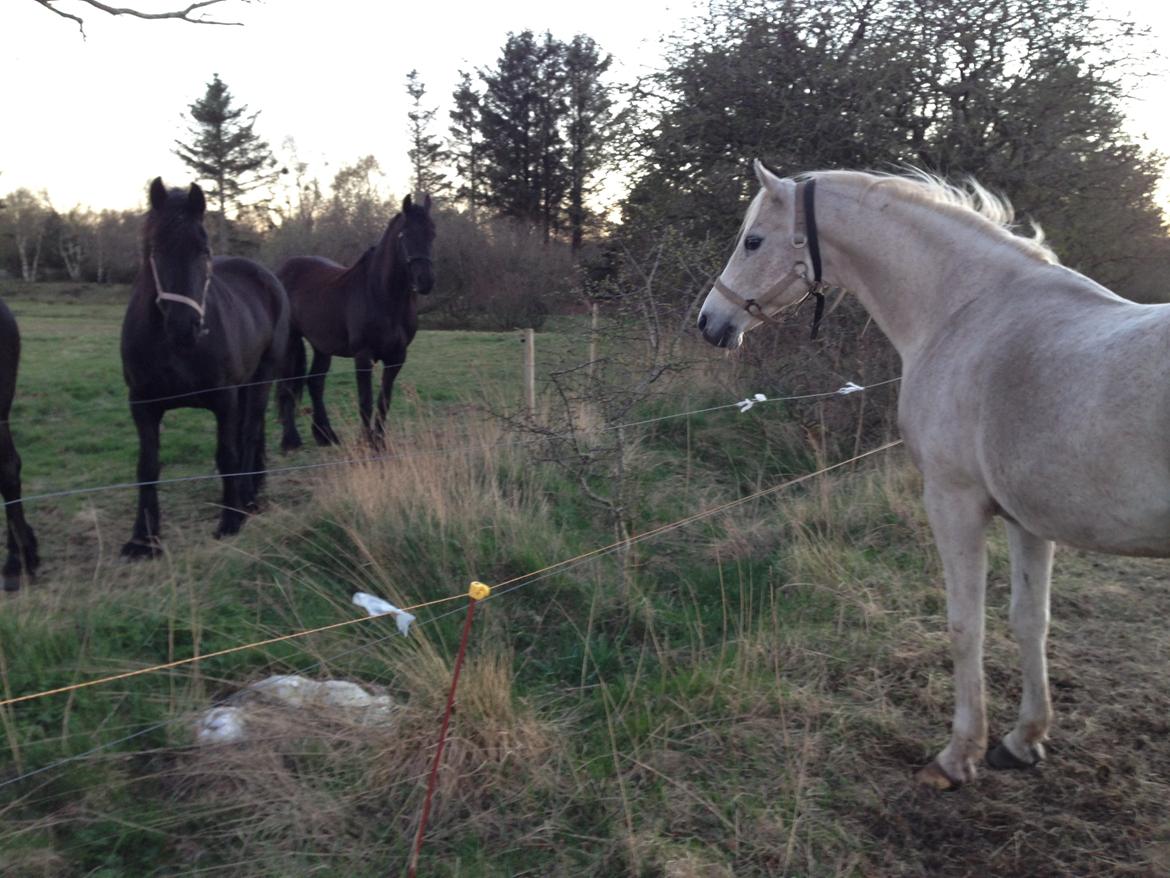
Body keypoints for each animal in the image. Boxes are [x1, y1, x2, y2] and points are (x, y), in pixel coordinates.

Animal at [121, 179, 290, 559]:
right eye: (156, 247)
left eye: (203, 248)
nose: (184, 327)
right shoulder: (142, 405)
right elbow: (146, 465)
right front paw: (143, 538)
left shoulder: (223, 400)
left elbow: (227, 454)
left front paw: (230, 521)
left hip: (262, 377)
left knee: (249, 433)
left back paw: (247, 499)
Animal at [277, 195, 435, 449]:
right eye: (405, 234)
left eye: (432, 233)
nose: (425, 281)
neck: (383, 296)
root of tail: (281, 271)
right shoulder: (363, 356)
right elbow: (365, 401)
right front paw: (367, 442)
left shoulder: (397, 357)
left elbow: (384, 401)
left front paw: (379, 442)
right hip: (290, 341)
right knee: (288, 385)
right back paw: (290, 440)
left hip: (322, 346)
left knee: (315, 383)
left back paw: (325, 435)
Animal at [697, 161, 1165, 796]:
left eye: (752, 241)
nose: (710, 322)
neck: (967, 312)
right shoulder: (1027, 520)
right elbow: (1030, 621)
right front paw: (1022, 741)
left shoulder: (953, 503)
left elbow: (966, 625)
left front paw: (957, 756)